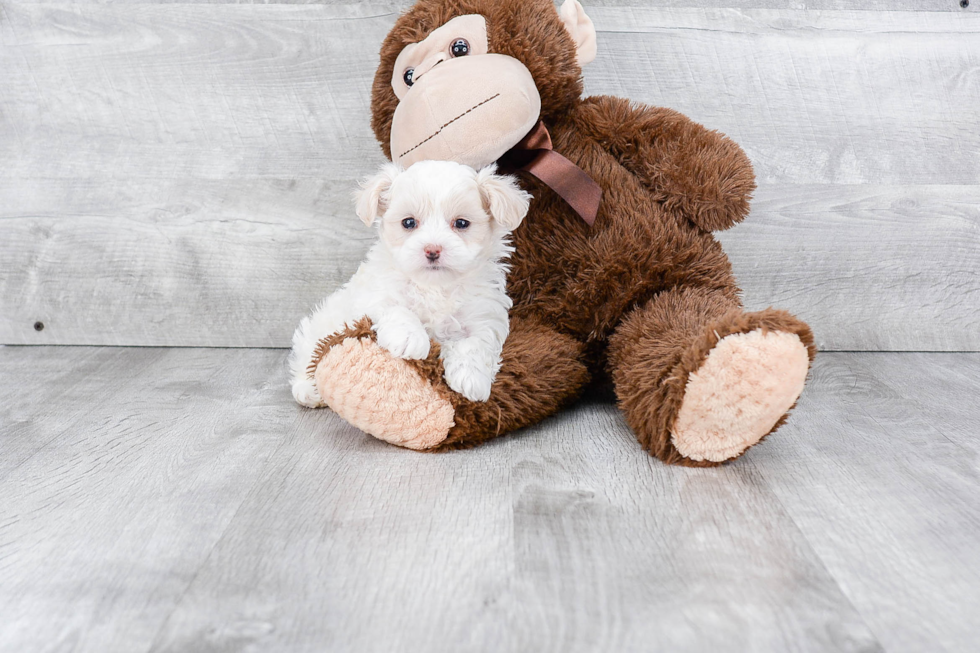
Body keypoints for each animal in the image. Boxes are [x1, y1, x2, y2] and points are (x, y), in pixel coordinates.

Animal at [290, 160, 532, 404]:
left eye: (462, 223)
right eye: (408, 222)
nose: (432, 250)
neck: (434, 286)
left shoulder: (484, 316)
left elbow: (474, 343)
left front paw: (471, 378)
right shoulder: (374, 296)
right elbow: (397, 309)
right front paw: (410, 338)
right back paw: (308, 390)